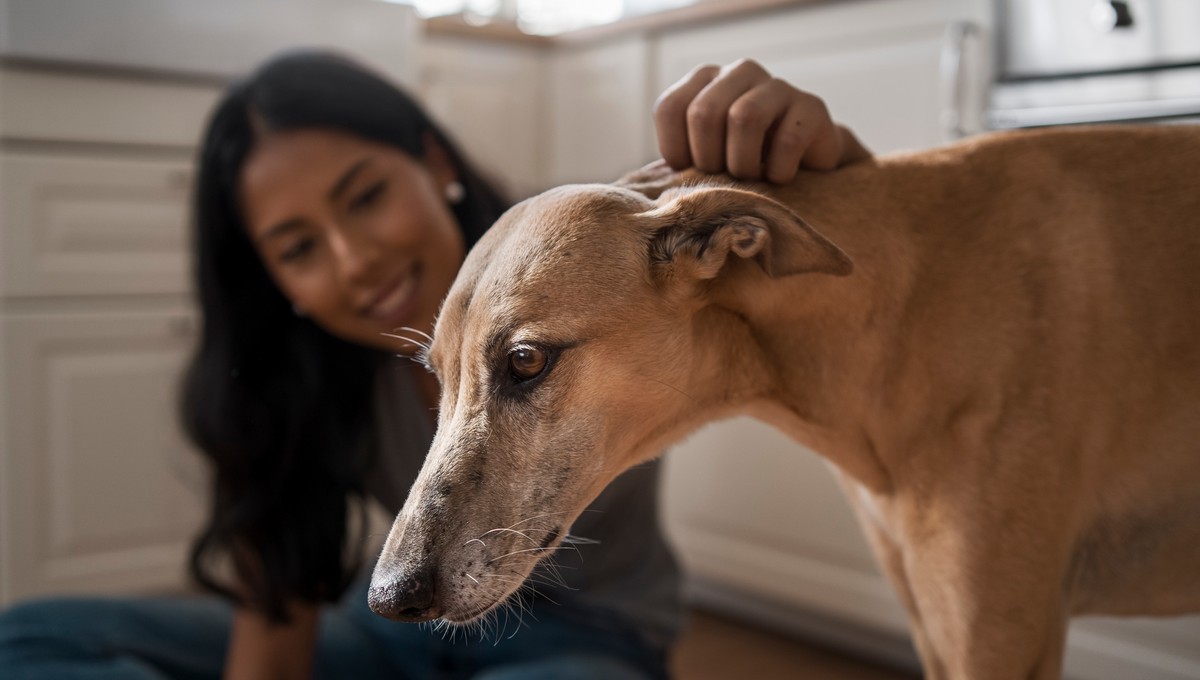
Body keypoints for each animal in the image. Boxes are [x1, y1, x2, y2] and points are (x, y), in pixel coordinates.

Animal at [367, 125, 1200, 676]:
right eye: (436, 374)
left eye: (526, 361)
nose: (389, 595)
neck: (898, 304)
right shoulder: (935, 623)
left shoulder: (1001, 637)